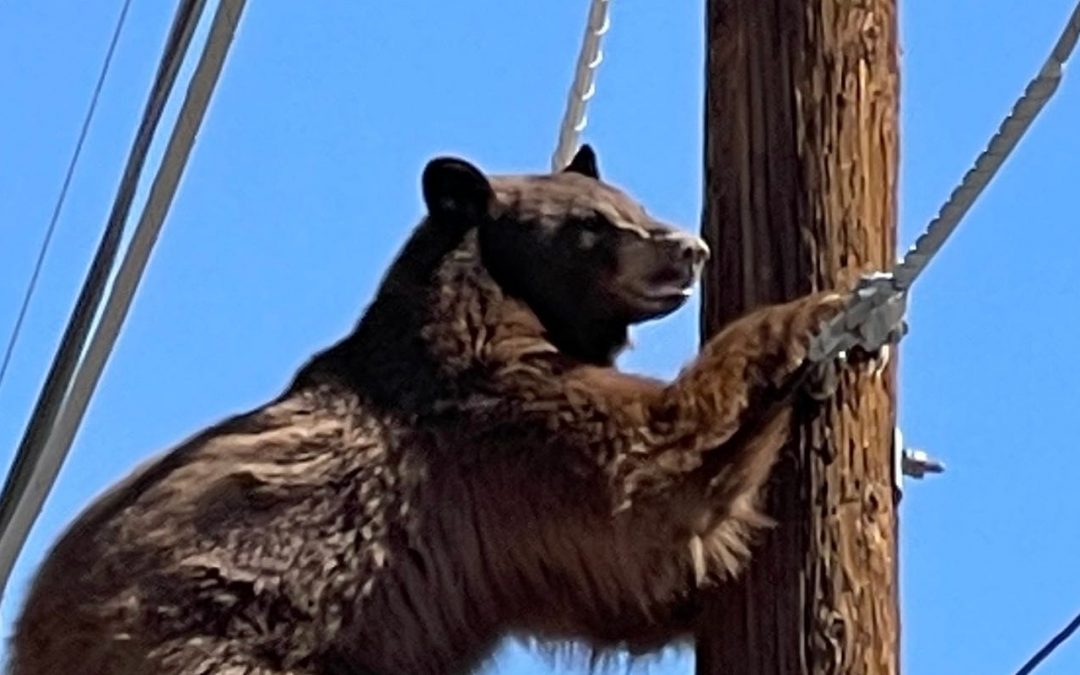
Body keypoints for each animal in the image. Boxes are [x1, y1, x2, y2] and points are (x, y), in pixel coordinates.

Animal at [8, 146, 872, 673]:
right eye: (591, 224)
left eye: (626, 197)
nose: (687, 248)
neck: (493, 306)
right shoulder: (488, 432)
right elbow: (645, 476)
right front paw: (812, 314)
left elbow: (630, 588)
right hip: (214, 634)